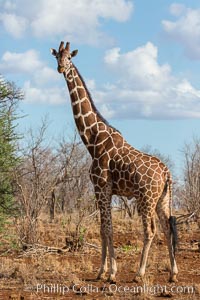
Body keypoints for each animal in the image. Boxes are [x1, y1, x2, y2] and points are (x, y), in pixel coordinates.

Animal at [50, 41, 178, 282]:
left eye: (69, 58)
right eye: (56, 57)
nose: (61, 68)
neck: (92, 140)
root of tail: (167, 173)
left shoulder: (101, 187)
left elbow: (107, 229)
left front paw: (110, 273)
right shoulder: (105, 190)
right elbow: (103, 229)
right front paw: (103, 271)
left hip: (146, 198)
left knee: (150, 231)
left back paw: (139, 273)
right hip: (163, 199)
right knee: (167, 228)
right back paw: (173, 274)